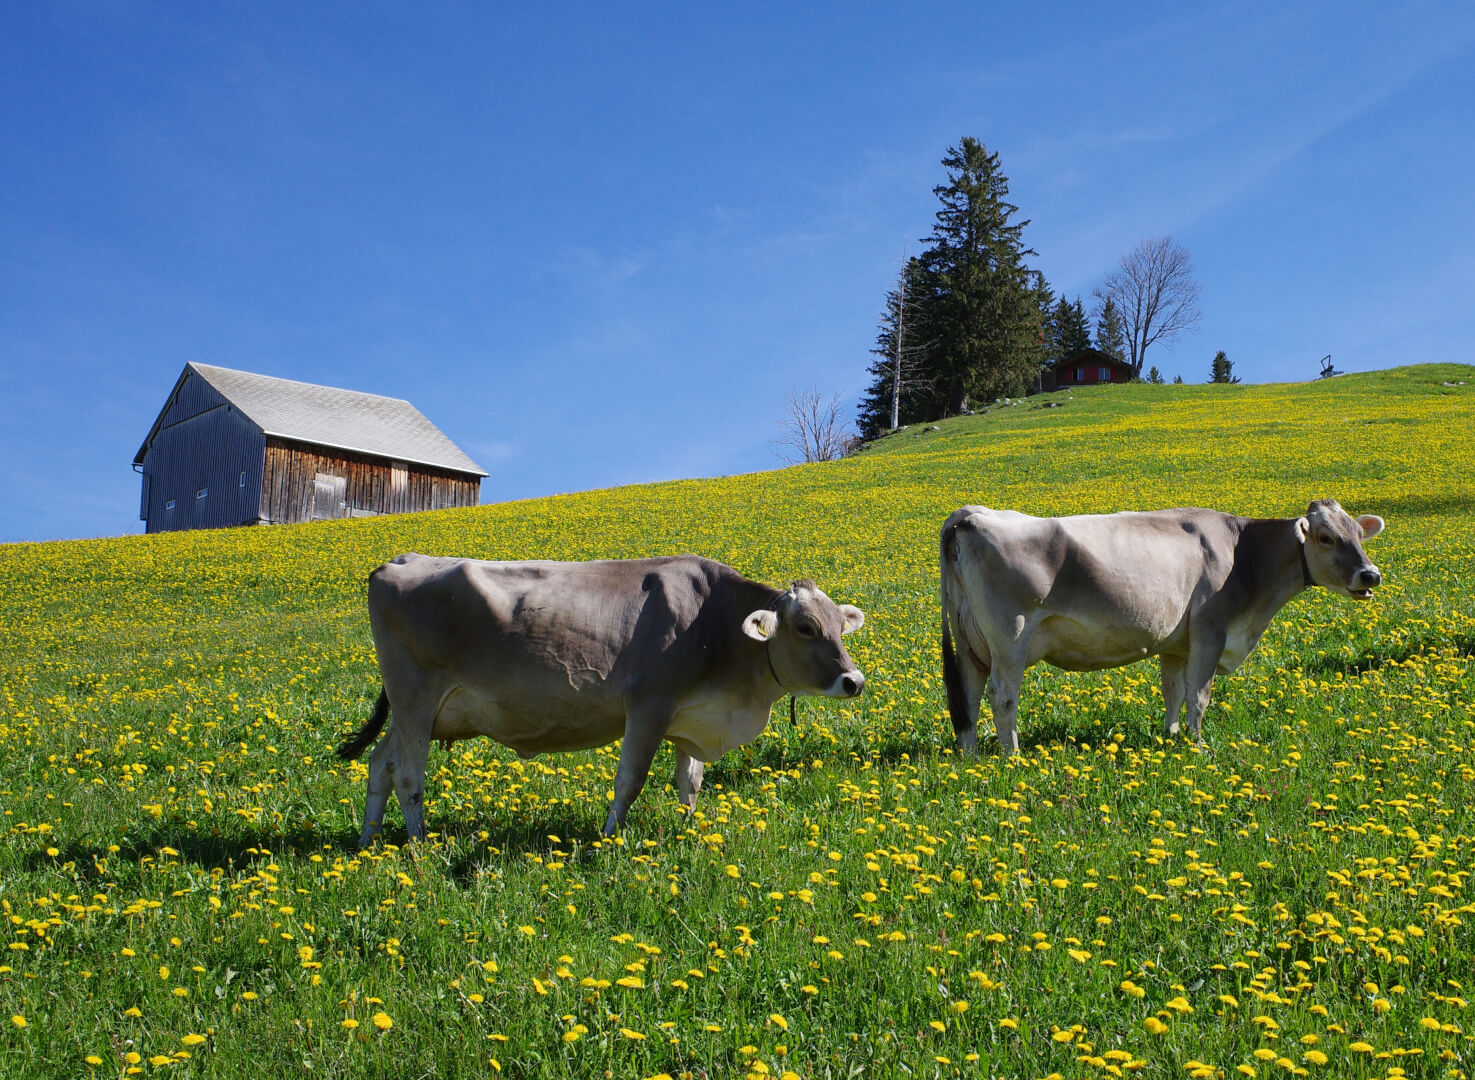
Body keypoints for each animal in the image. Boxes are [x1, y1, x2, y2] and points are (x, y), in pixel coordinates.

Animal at [337, 557, 861, 843]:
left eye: (840, 625)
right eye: (805, 627)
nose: (854, 680)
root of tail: (398, 561)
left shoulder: (691, 717)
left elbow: (690, 782)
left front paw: (690, 831)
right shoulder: (648, 705)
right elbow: (630, 781)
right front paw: (609, 839)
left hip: (417, 713)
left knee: (380, 763)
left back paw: (368, 840)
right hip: (415, 699)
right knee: (409, 774)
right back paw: (419, 845)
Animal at [944, 501, 1380, 755]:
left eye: (1359, 534)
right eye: (1326, 537)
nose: (1370, 575)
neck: (1244, 554)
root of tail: (971, 514)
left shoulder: (1176, 643)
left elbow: (1173, 692)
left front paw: (1171, 737)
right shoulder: (1210, 631)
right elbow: (1199, 695)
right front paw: (1198, 746)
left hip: (969, 644)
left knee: (967, 695)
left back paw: (970, 756)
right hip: (1010, 638)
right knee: (1002, 697)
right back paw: (1012, 757)